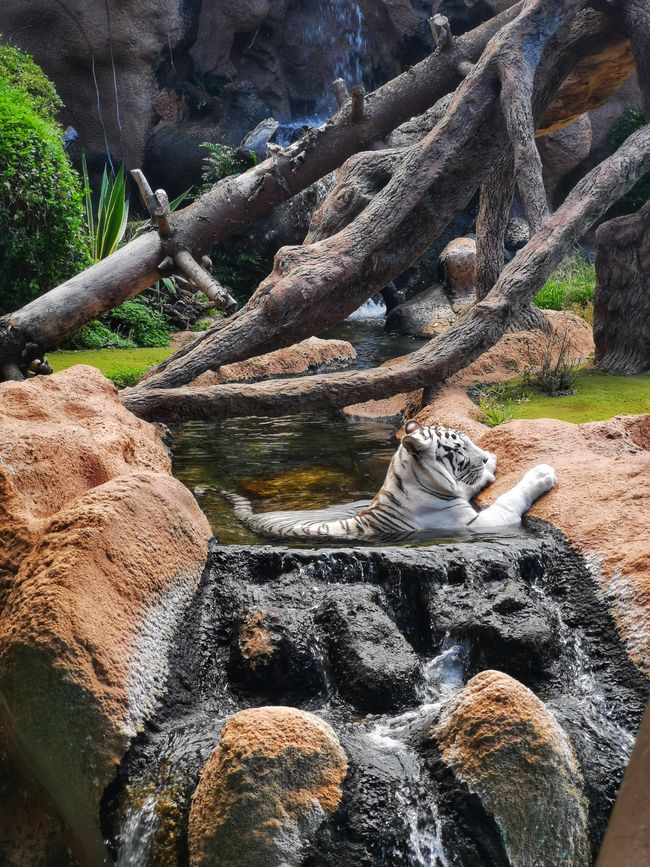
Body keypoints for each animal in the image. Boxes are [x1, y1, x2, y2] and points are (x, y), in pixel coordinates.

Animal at [220, 422, 556, 544]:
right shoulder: (474, 524)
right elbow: (508, 499)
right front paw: (541, 474)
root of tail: (256, 517)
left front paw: (490, 465)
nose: (485, 457)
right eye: (460, 448)